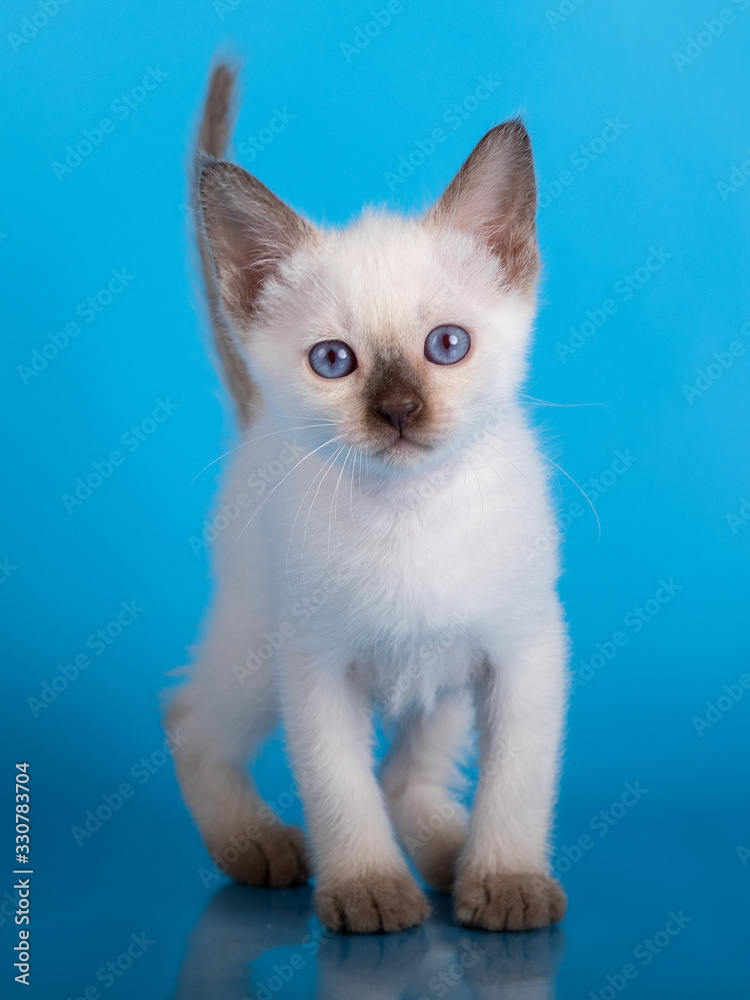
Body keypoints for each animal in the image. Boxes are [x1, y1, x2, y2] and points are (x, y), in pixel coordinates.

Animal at [169, 62, 568, 932]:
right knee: (187, 722)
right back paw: (257, 848)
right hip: (256, 652)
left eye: (446, 346)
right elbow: (338, 788)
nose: (399, 411)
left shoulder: (524, 650)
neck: (409, 515)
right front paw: (367, 889)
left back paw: (453, 860)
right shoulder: (315, 668)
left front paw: (507, 879)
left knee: (407, 776)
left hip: (442, 683)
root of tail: (256, 423)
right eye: (333, 361)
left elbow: (516, 781)